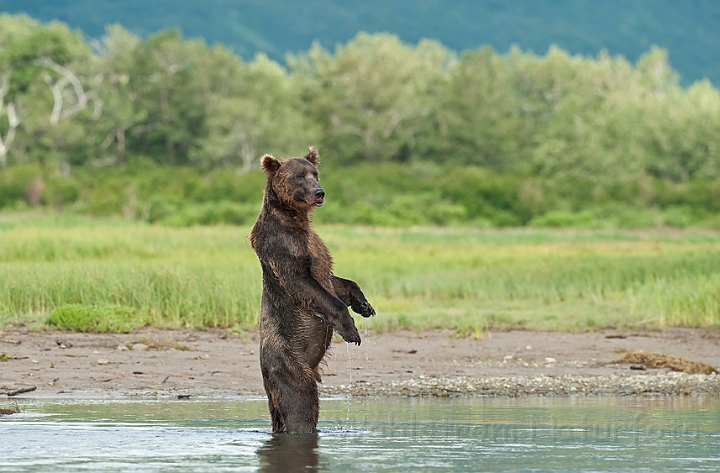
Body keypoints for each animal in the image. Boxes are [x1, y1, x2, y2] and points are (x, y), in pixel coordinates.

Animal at [249, 146, 374, 434]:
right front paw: (351, 331)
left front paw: (364, 305)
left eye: (315, 173)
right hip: (289, 362)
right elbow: (306, 285)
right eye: (298, 176)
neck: (294, 218)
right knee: (300, 404)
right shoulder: (283, 247)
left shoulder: (317, 249)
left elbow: (334, 282)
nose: (320, 192)